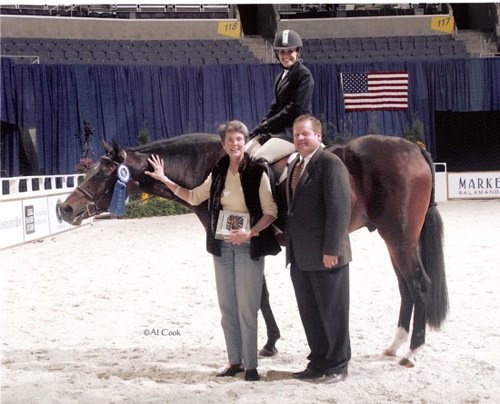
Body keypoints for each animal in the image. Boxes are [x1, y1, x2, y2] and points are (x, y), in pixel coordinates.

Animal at [60, 133, 448, 366]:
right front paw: (271, 342)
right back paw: (395, 345)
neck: (212, 167)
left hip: (399, 238)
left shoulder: (245, 241)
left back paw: (412, 351)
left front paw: (268, 343)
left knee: (419, 285)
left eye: (104, 173)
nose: (65, 208)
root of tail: (413, 148)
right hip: (395, 240)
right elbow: (261, 294)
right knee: (406, 288)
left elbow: (257, 295)